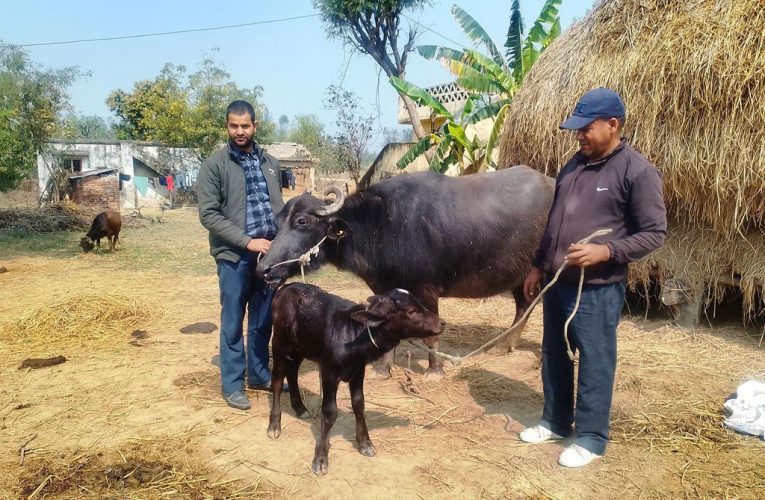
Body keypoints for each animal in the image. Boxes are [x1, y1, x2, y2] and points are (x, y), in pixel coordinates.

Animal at [258, 166, 556, 376]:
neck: (382, 223)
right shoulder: (386, 289)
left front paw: (434, 370)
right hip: (520, 275)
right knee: (524, 305)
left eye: (302, 221)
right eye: (279, 222)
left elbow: (433, 334)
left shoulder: (427, 290)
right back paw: (504, 345)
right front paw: (383, 368)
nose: (264, 268)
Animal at [268, 284, 444, 474]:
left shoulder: (359, 371)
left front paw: (365, 443)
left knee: (292, 372)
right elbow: (330, 412)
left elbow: (359, 404)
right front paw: (320, 458)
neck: (352, 336)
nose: (442, 323)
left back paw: (300, 408)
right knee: (277, 380)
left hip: (300, 348)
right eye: (412, 311)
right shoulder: (328, 372)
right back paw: (274, 426)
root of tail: (286, 287)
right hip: (279, 344)